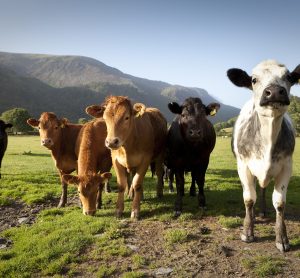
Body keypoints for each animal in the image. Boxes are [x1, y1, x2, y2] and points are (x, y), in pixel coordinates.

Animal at [227, 59, 300, 251]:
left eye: (288, 77)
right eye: (253, 79)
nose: (273, 91)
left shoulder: (287, 166)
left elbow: (280, 203)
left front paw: (282, 238)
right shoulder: (243, 166)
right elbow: (248, 198)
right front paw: (247, 232)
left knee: (263, 188)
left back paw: (263, 210)